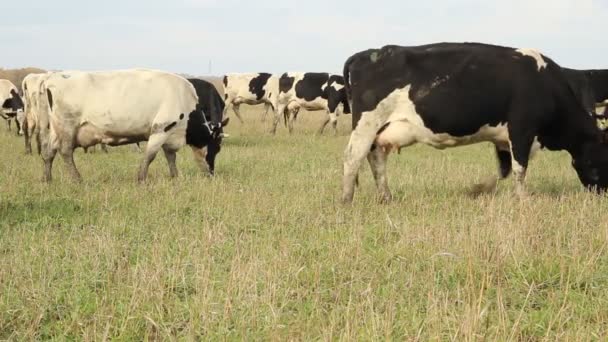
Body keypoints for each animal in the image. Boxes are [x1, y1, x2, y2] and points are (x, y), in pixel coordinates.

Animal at [39, 68, 228, 183]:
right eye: (217, 147)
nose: (211, 173)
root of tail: (52, 76)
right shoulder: (161, 129)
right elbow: (150, 156)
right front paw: (141, 179)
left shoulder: (169, 135)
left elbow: (170, 157)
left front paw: (175, 177)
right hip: (68, 126)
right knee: (65, 152)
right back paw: (77, 179)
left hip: (56, 129)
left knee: (49, 152)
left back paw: (48, 179)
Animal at [342, 42, 608, 203]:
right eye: (602, 159)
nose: (604, 193)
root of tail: (368, 53)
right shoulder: (522, 130)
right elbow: (520, 169)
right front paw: (523, 199)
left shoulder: (503, 139)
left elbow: (504, 170)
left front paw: (478, 189)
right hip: (367, 123)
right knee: (353, 158)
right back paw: (347, 200)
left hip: (381, 131)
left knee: (376, 160)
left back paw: (386, 198)